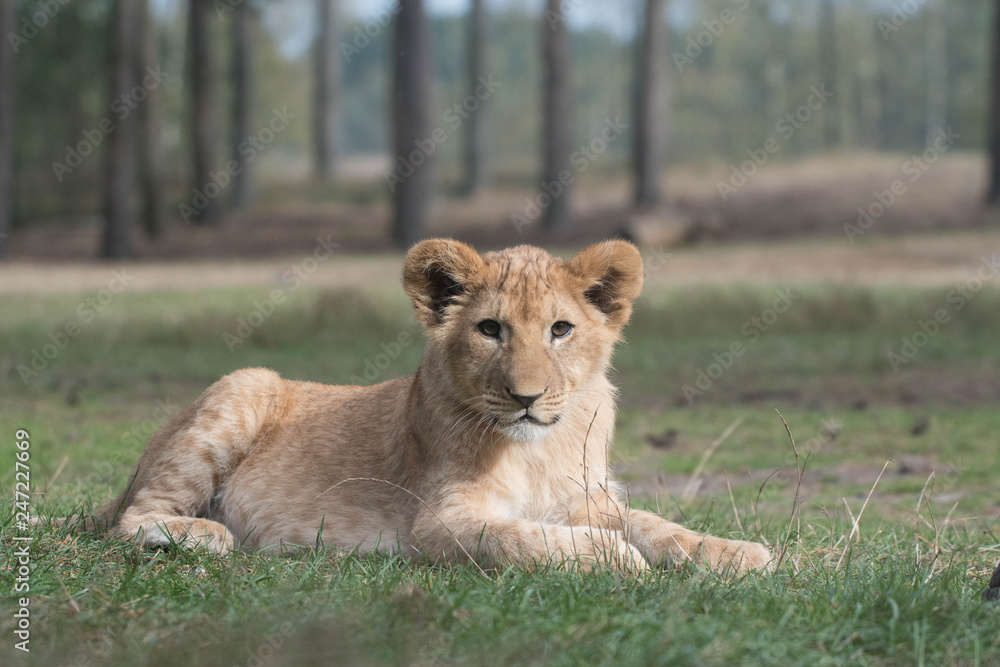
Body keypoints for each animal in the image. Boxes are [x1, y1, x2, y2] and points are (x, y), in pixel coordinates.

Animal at [75, 238, 771, 574]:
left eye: (561, 329)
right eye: (490, 330)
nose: (526, 397)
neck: (538, 449)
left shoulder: (588, 501)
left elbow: (659, 525)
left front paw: (741, 554)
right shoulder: (439, 523)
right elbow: (526, 539)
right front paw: (619, 560)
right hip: (243, 386)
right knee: (132, 518)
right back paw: (208, 533)